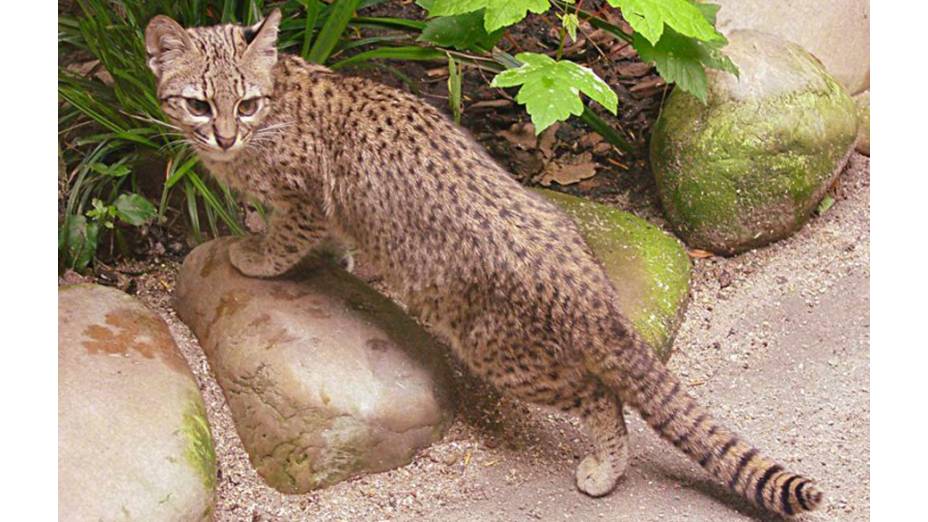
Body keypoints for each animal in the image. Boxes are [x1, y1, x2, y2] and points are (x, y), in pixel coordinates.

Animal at [147, 10, 828, 512]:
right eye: (199, 103)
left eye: (247, 104)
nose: (224, 135)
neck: (280, 95)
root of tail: (589, 289)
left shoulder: (304, 199)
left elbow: (286, 241)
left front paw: (254, 254)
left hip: (502, 353)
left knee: (601, 397)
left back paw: (604, 468)